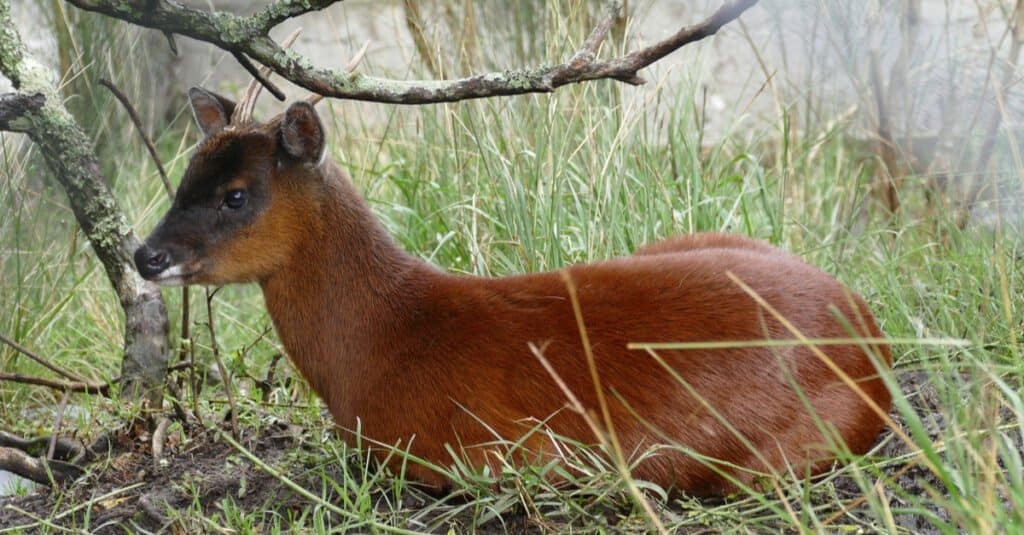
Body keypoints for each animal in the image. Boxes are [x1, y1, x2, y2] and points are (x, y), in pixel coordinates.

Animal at [134, 87, 888, 496]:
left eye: (236, 195)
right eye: (184, 178)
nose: (146, 255)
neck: (383, 338)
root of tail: (873, 338)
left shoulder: (478, 454)